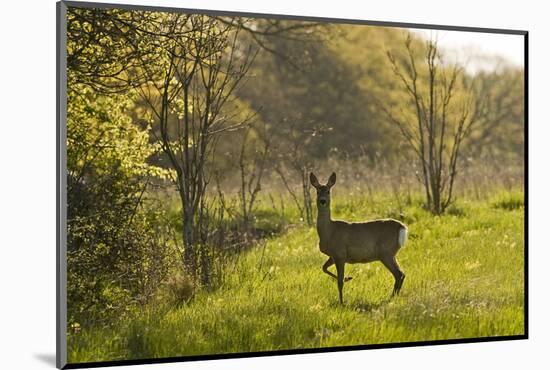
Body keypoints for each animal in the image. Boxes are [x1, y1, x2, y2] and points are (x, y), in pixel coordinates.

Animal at [310, 172, 410, 304]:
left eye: (328, 191)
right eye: (317, 191)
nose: (322, 201)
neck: (329, 231)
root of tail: (402, 227)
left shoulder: (340, 254)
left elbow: (339, 282)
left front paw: (342, 302)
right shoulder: (333, 255)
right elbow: (323, 268)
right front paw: (348, 278)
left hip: (386, 253)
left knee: (399, 274)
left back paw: (391, 298)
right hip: (390, 254)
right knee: (401, 274)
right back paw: (393, 297)